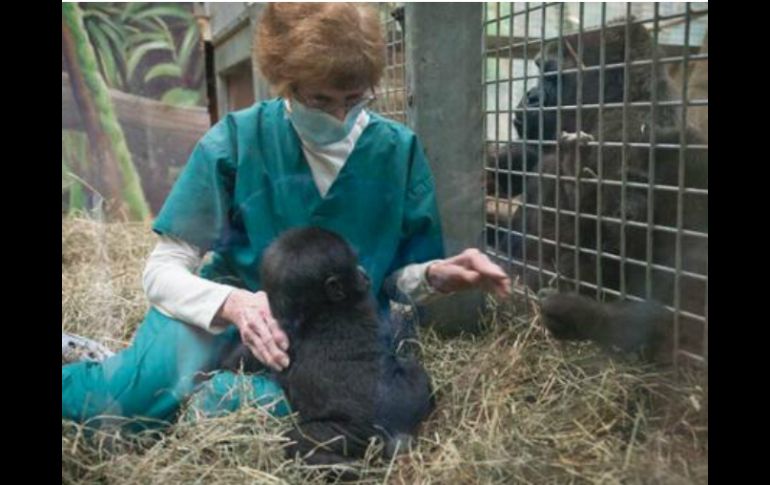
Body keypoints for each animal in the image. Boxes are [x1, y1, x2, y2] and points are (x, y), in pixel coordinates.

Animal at [220, 228, 432, 472]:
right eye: (354, 266)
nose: (363, 273)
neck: (323, 307)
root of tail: (397, 434)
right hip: (386, 413)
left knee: (298, 441)